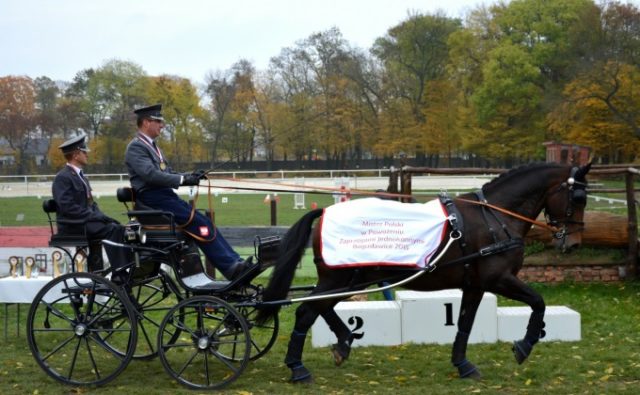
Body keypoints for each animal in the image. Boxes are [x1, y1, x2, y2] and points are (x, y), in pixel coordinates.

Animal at [255, 162, 592, 382]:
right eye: (579, 198)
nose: (574, 242)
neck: (494, 218)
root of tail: (325, 211)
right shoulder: (499, 279)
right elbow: (538, 302)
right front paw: (524, 345)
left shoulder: (475, 285)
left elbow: (465, 323)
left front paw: (462, 364)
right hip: (339, 277)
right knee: (307, 312)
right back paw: (298, 368)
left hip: (350, 279)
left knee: (320, 307)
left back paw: (343, 342)